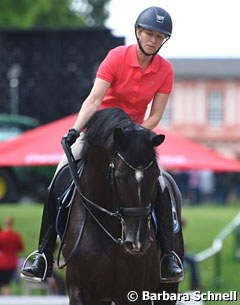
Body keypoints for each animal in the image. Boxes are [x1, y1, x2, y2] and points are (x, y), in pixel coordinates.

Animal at [53, 108, 184, 302]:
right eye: (119, 176)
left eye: (155, 175)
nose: (137, 242)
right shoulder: (79, 290)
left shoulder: (136, 292)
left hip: (166, 289)